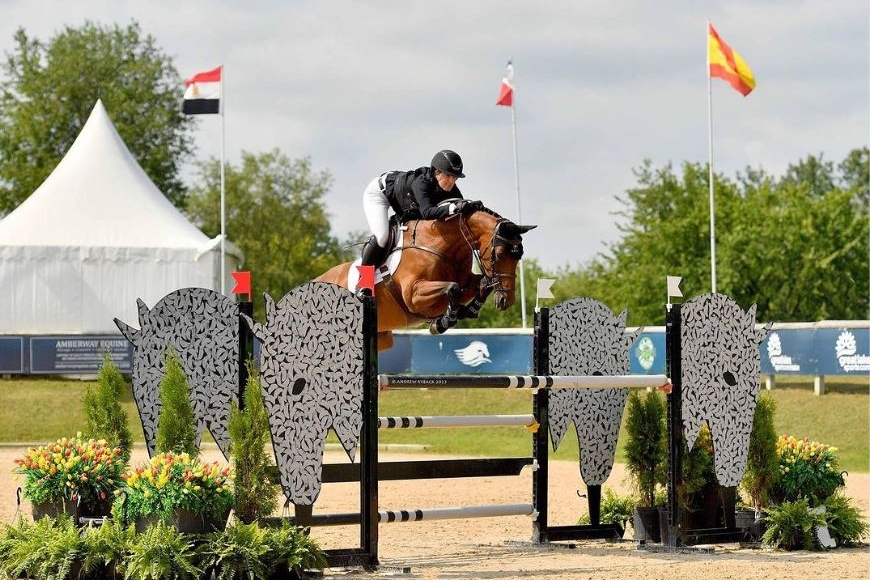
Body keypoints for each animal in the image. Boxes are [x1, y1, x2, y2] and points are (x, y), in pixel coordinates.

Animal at [315, 203, 536, 351]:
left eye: (519, 256)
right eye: (499, 255)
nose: (506, 300)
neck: (439, 244)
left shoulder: (466, 282)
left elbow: (481, 284)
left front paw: (467, 311)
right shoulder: (414, 295)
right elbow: (452, 287)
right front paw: (444, 321)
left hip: (381, 338)